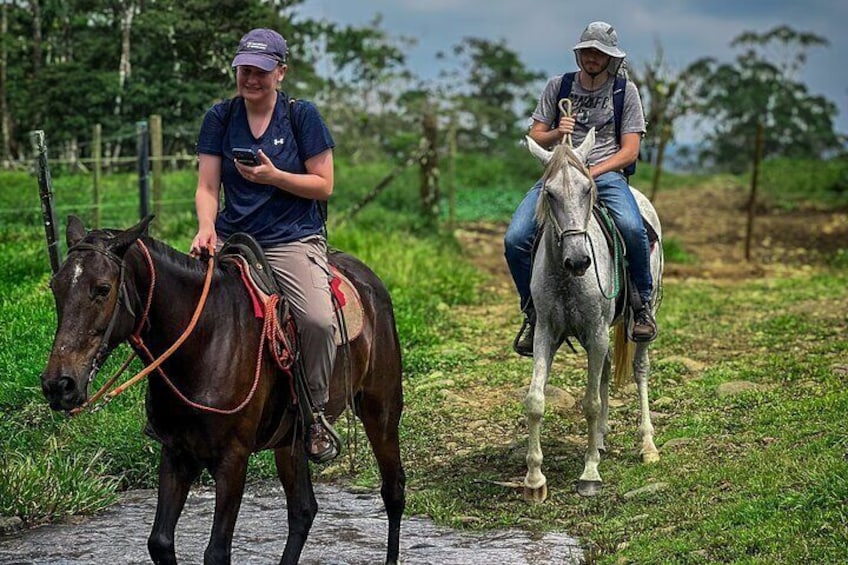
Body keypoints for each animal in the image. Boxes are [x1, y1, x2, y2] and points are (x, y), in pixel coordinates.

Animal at [41, 214, 406, 560]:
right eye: (55, 287)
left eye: (102, 289)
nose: (58, 385)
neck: (204, 342)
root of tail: (369, 280)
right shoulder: (176, 451)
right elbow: (159, 541)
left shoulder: (233, 458)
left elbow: (216, 551)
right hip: (289, 439)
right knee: (303, 509)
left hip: (381, 409)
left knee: (393, 491)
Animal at [520, 132, 664, 502]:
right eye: (549, 193)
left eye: (588, 190)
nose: (579, 261)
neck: (566, 276)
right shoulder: (546, 333)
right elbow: (536, 400)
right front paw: (535, 480)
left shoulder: (596, 332)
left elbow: (590, 404)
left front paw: (589, 474)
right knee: (608, 367)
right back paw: (599, 440)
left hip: (640, 319)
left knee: (640, 370)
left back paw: (647, 446)